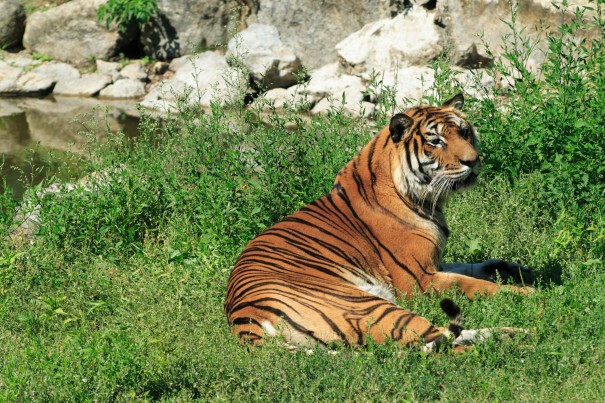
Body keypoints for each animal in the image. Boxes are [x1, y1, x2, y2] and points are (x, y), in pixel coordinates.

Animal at [224, 94, 532, 354]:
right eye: (435, 142)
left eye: (464, 132)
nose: (473, 160)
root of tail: (246, 324)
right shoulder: (418, 279)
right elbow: (474, 285)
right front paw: (529, 293)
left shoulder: (432, 262)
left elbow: (472, 267)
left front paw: (514, 269)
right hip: (369, 306)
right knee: (441, 346)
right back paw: (517, 343)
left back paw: (515, 333)